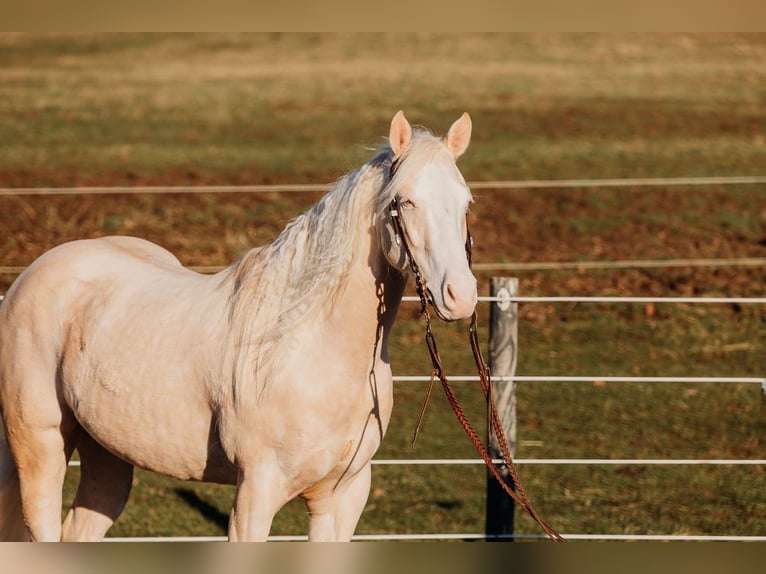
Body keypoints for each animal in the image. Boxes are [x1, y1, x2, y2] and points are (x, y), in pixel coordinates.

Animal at [0, 111, 477, 541]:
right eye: (405, 201)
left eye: (466, 201)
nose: (461, 296)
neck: (307, 350)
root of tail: (24, 281)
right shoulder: (255, 494)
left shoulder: (344, 496)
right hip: (40, 447)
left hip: (106, 454)